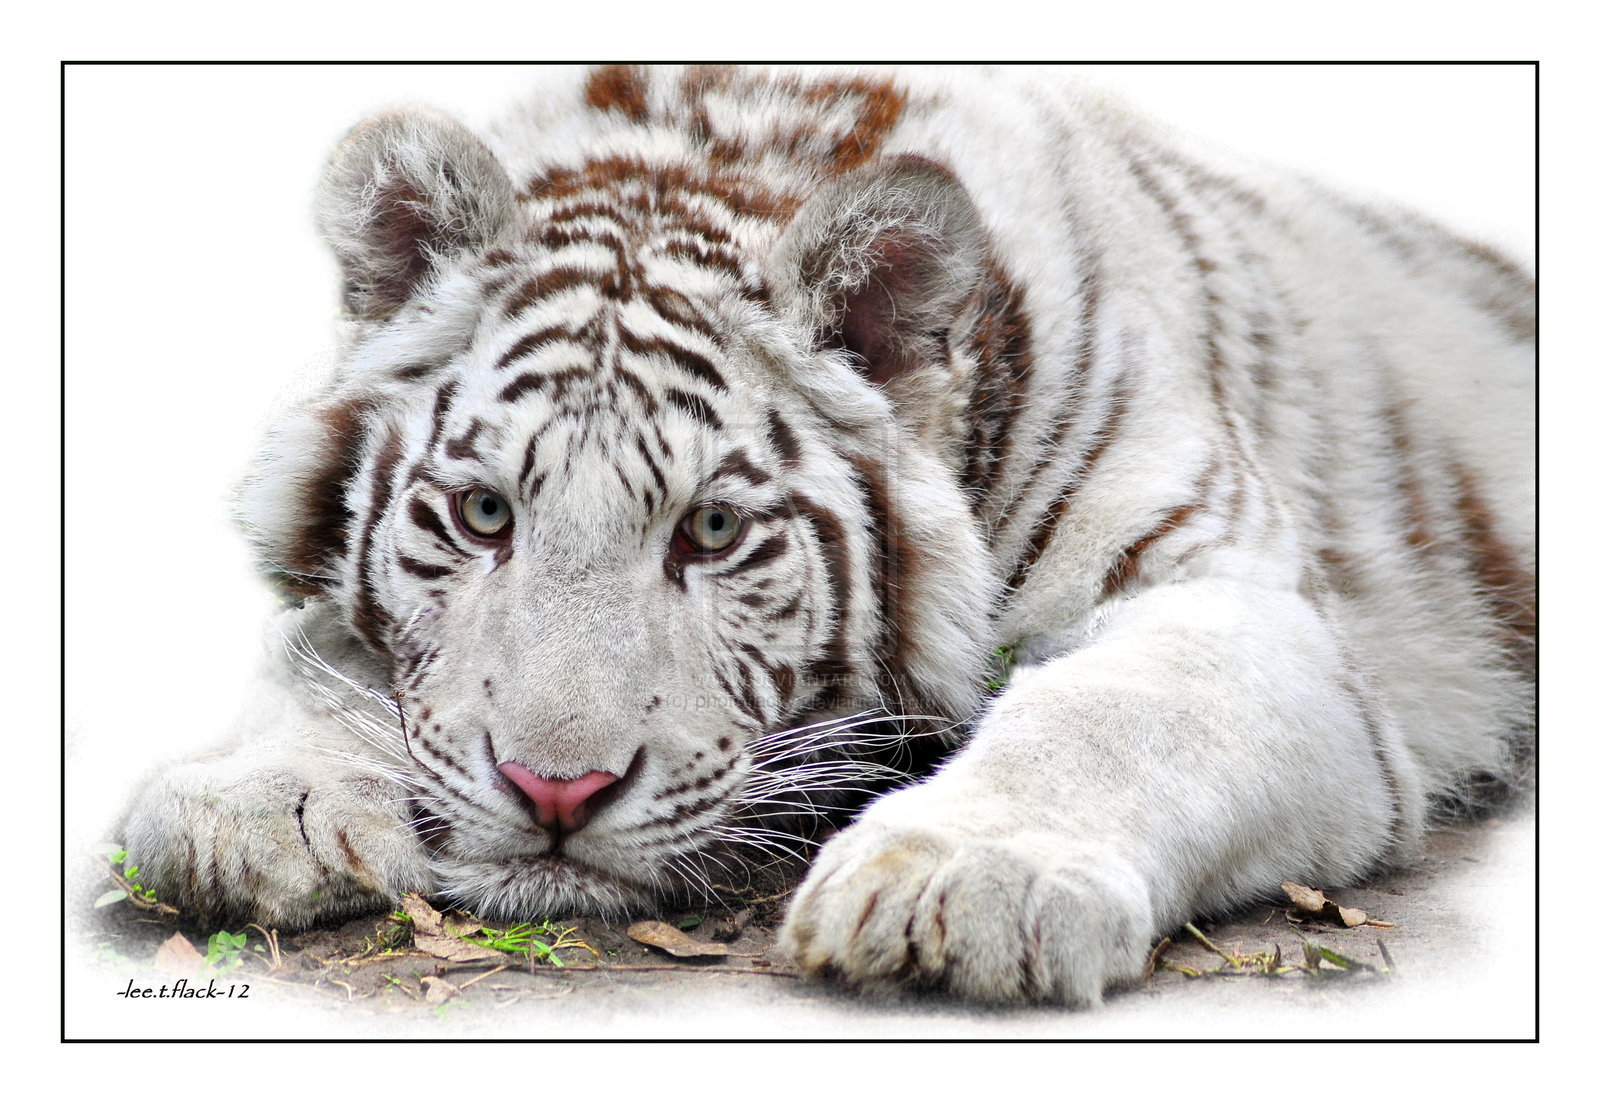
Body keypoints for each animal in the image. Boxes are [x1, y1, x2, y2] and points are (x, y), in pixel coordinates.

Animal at [118, 64, 1534, 1006]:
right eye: (483, 514)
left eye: (712, 527)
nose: (554, 793)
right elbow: (319, 650)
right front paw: (250, 806)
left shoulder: (1236, 601)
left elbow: (1113, 715)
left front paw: (961, 883)